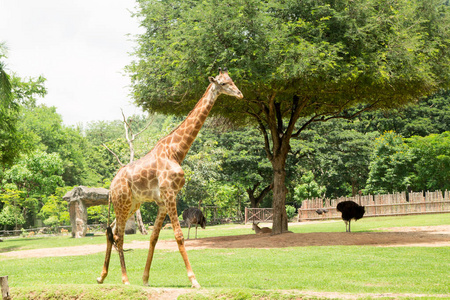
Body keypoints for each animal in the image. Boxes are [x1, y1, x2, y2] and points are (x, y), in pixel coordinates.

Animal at [95, 68, 243, 288]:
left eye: (232, 80)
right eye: (224, 83)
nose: (240, 94)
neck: (176, 152)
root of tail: (111, 186)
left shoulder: (163, 202)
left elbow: (154, 237)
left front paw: (145, 279)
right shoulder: (170, 194)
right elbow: (179, 236)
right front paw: (194, 280)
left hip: (132, 204)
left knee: (110, 232)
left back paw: (102, 276)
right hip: (123, 202)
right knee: (119, 236)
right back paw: (125, 279)